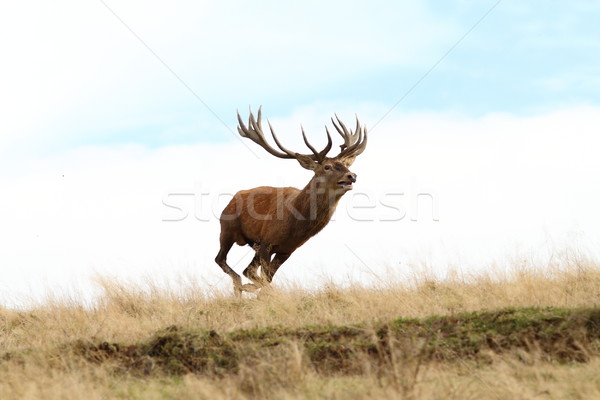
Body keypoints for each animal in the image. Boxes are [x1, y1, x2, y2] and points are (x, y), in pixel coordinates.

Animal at [216, 108, 366, 296]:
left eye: (345, 165)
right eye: (327, 167)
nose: (351, 175)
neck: (296, 226)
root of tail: (232, 199)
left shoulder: (287, 249)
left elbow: (266, 278)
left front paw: (258, 291)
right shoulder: (267, 241)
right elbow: (264, 278)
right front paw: (259, 292)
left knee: (246, 269)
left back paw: (243, 288)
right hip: (227, 229)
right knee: (221, 259)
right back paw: (239, 285)